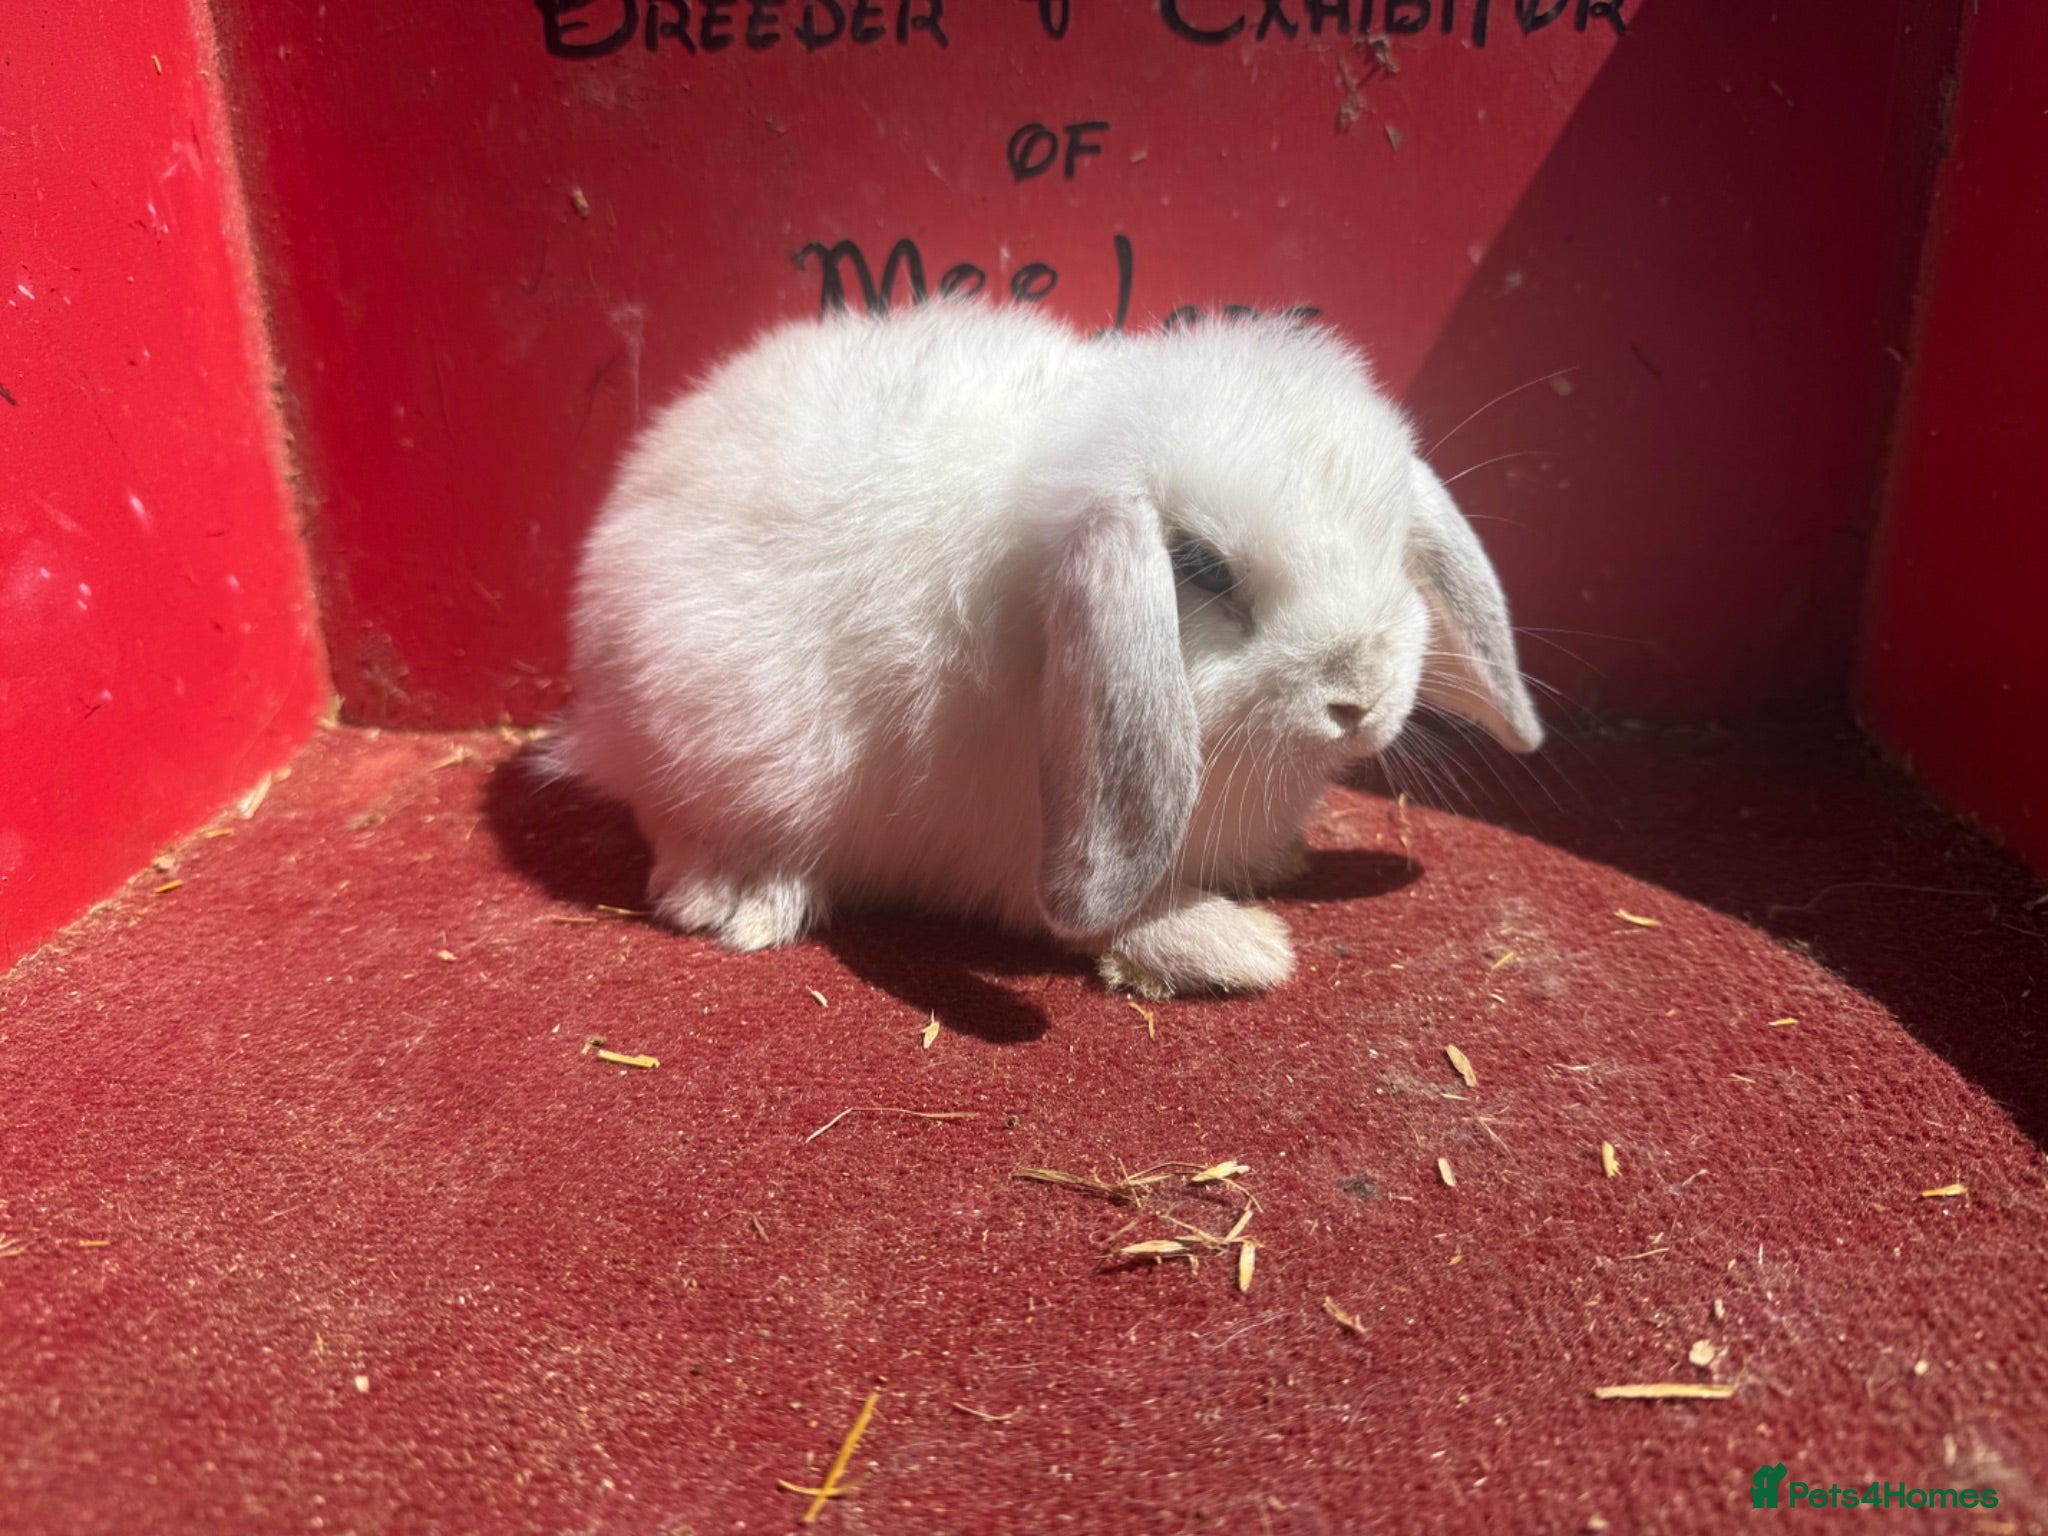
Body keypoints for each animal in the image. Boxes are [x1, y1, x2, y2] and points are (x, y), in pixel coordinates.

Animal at [550, 300, 1542, 998]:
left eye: (1396, 549)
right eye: (1202, 567)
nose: (1359, 700)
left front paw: (1275, 866)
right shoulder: (1015, 842)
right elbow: (1094, 919)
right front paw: (1241, 948)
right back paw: (747, 902)